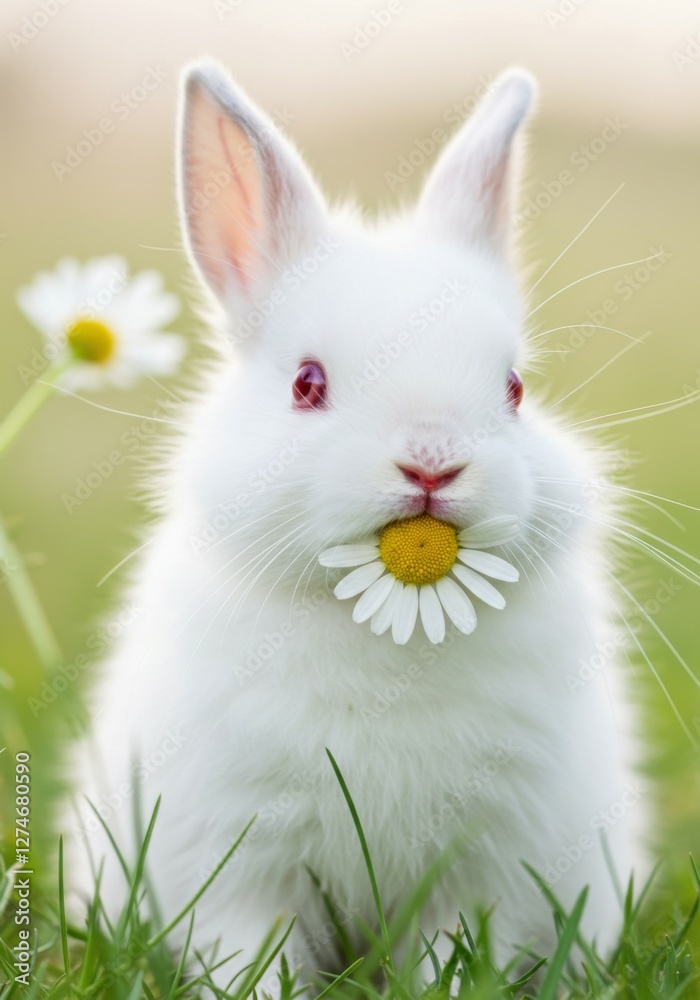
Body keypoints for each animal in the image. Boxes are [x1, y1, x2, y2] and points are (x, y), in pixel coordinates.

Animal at [70, 60, 646, 994]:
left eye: (515, 388)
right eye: (308, 383)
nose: (432, 461)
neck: (388, 622)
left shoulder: (480, 867)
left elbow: (456, 951)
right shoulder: (243, 861)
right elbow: (252, 955)